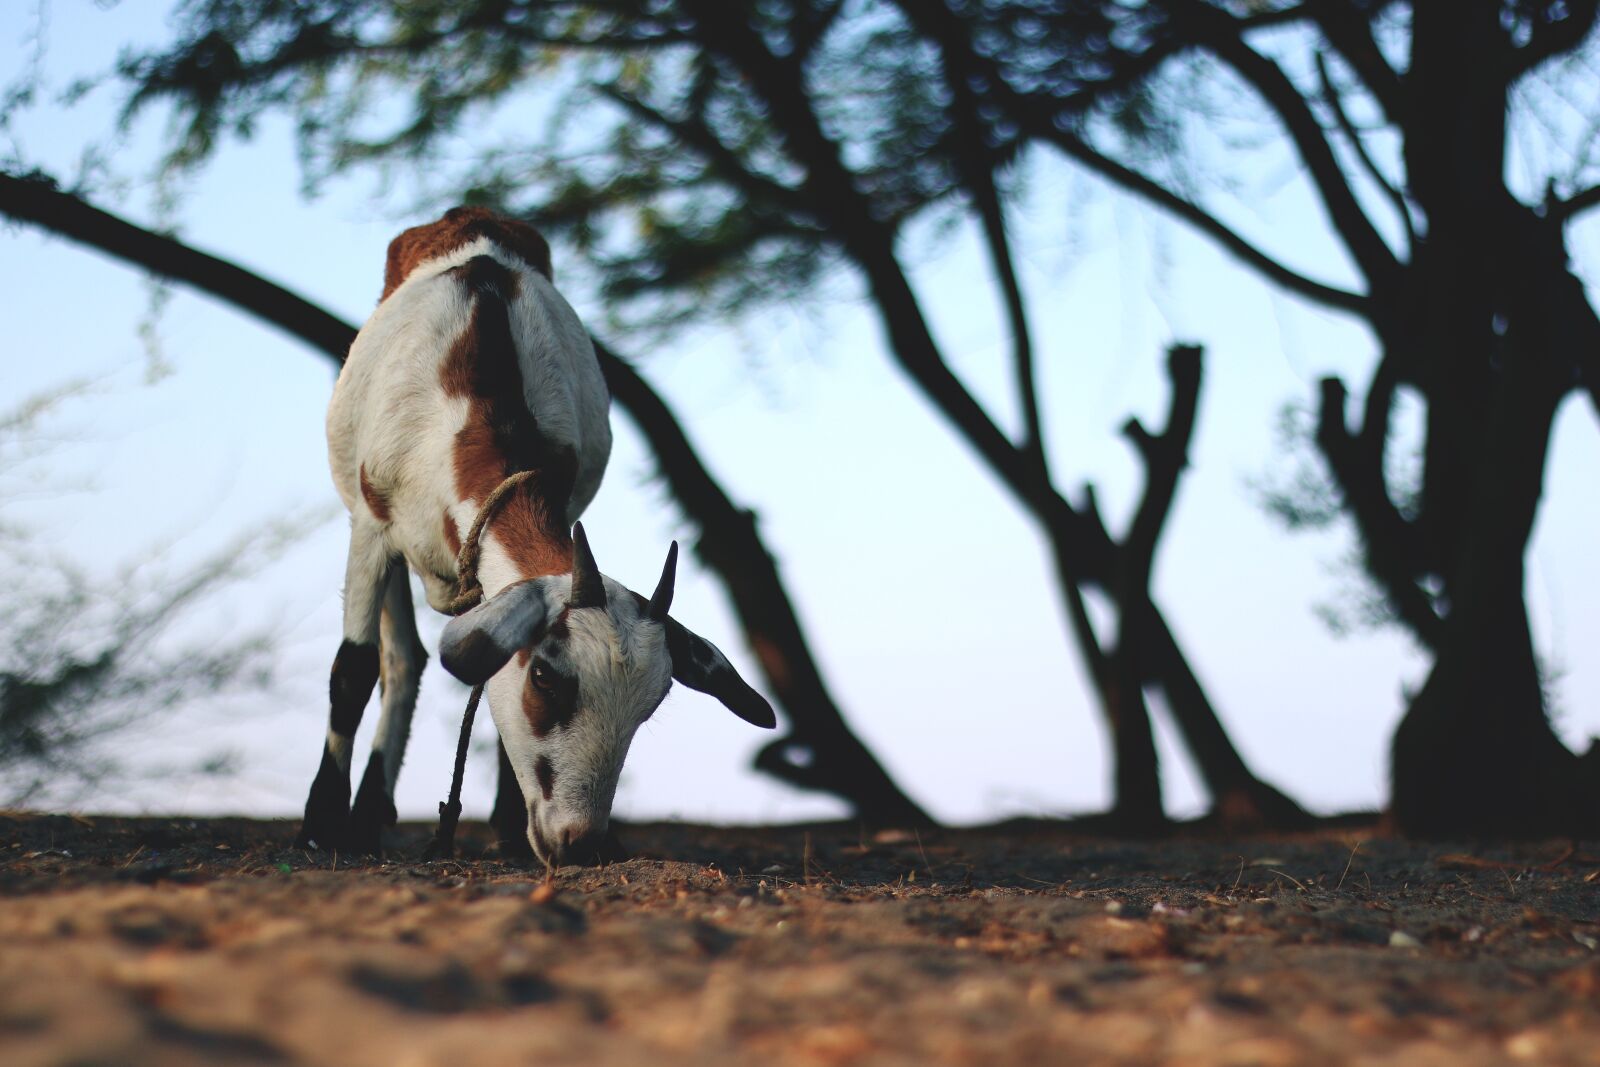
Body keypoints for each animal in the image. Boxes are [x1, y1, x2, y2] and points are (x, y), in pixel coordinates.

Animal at [296, 206, 775, 865]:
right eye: (546, 677)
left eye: (652, 703)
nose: (579, 843)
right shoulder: (372, 527)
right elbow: (354, 670)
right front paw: (319, 823)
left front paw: (506, 830)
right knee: (399, 658)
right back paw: (362, 819)